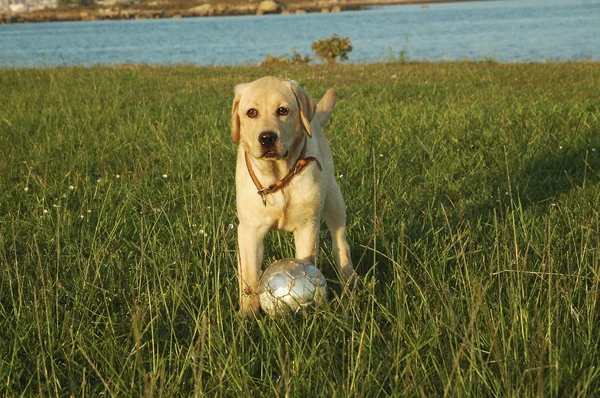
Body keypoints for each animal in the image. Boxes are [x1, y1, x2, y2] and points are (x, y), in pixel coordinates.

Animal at [231, 77, 354, 314]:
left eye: (282, 110)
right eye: (251, 112)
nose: (267, 137)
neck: (279, 176)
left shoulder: (307, 226)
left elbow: (305, 261)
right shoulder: (249, 230)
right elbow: (250, 274)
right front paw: (247, 314)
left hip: (334, 199)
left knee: (341, 242)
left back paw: (350, 279)